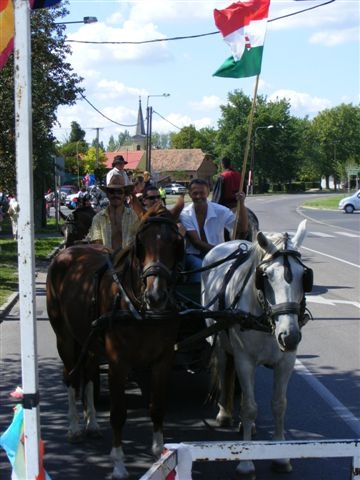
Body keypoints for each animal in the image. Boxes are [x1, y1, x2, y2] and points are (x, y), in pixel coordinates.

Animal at [46, 202, 184, 476]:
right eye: (141, 242)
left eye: (176, 242)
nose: (156, 296)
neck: (138, 306)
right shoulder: (118, 363)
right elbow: (118, 413)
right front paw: (119, 464)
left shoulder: (163, 359)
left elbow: (157, 405)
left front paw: (159, 453)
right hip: (64, 338)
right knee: (71, 377)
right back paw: (74, 428)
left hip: (87, 339)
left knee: (88, 375)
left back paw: (91, 424)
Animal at [202, 219, 312, 478]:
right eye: (266, 276)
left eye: (304, 276)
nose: (290, 336)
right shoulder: (245, 360)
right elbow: (249, 408)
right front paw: (246, 462)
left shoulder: (286, 362)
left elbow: (279, 405)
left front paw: (281, 458)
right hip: (220, 343)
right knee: (224, 368)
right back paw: (225, 413)